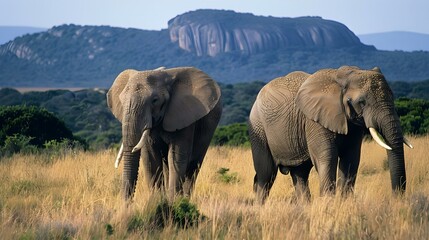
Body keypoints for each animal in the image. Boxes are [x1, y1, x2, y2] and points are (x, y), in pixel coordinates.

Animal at [106, 65, 221, 201]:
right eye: (121, 100)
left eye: (155, 100)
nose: (126, 204)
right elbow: (150, 159)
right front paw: (157, 202)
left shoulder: (184, 116)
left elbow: (176, 157)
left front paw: (173, 202)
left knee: (193, 165)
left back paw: (185, 199)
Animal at [247, 66, 412, 203]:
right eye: (362, 102)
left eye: (392, 97)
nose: (396, 199)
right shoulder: (314, 120)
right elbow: (327, 157)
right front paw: (328, 203)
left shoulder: (352, 124)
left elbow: (351, 159)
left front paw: (345, 202)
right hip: (258, 127)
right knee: (266, 174)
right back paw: (260, 207)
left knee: (300, 174)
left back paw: (304, 206)